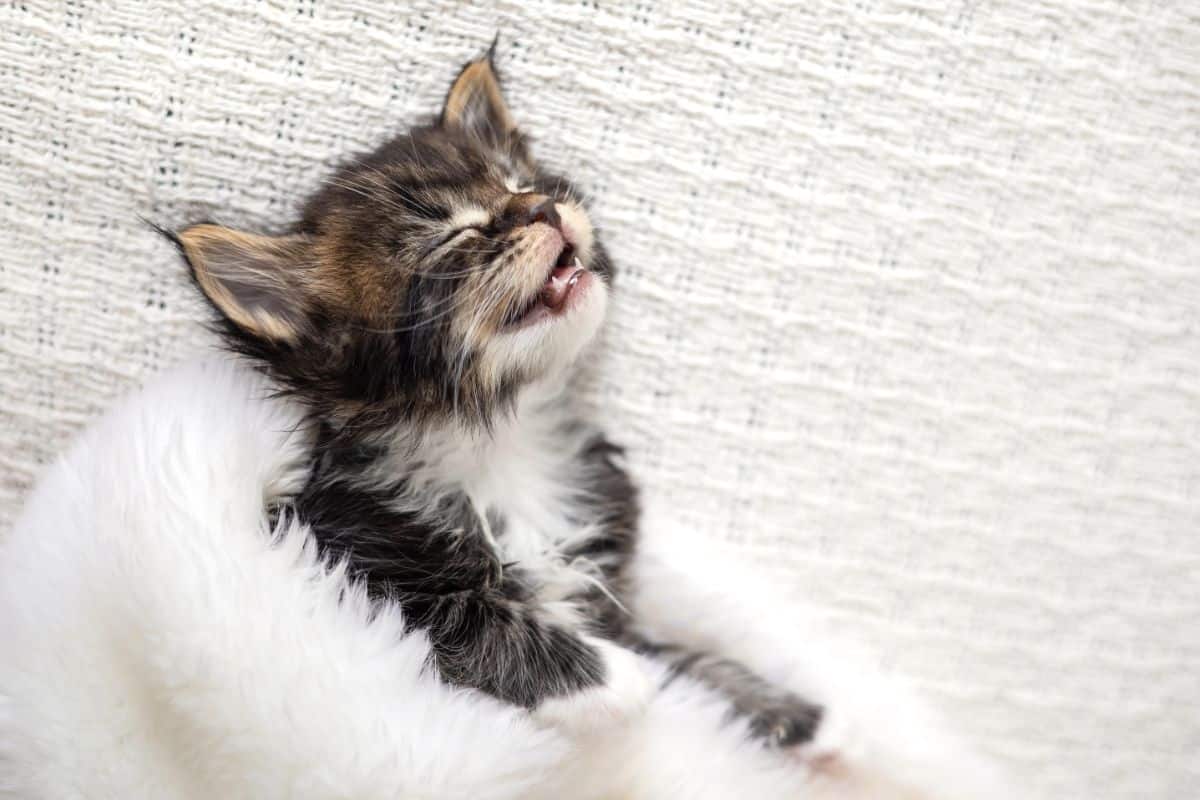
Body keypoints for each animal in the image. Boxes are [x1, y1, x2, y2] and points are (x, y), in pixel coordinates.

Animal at [169, 48, 820, 753]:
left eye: (517, 181)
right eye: (455, 235)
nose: (543, 207)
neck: (508, 442)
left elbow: (680, 657)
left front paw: (768, 703)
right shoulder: (349, 560)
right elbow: (469, 617)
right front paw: (615, 676)